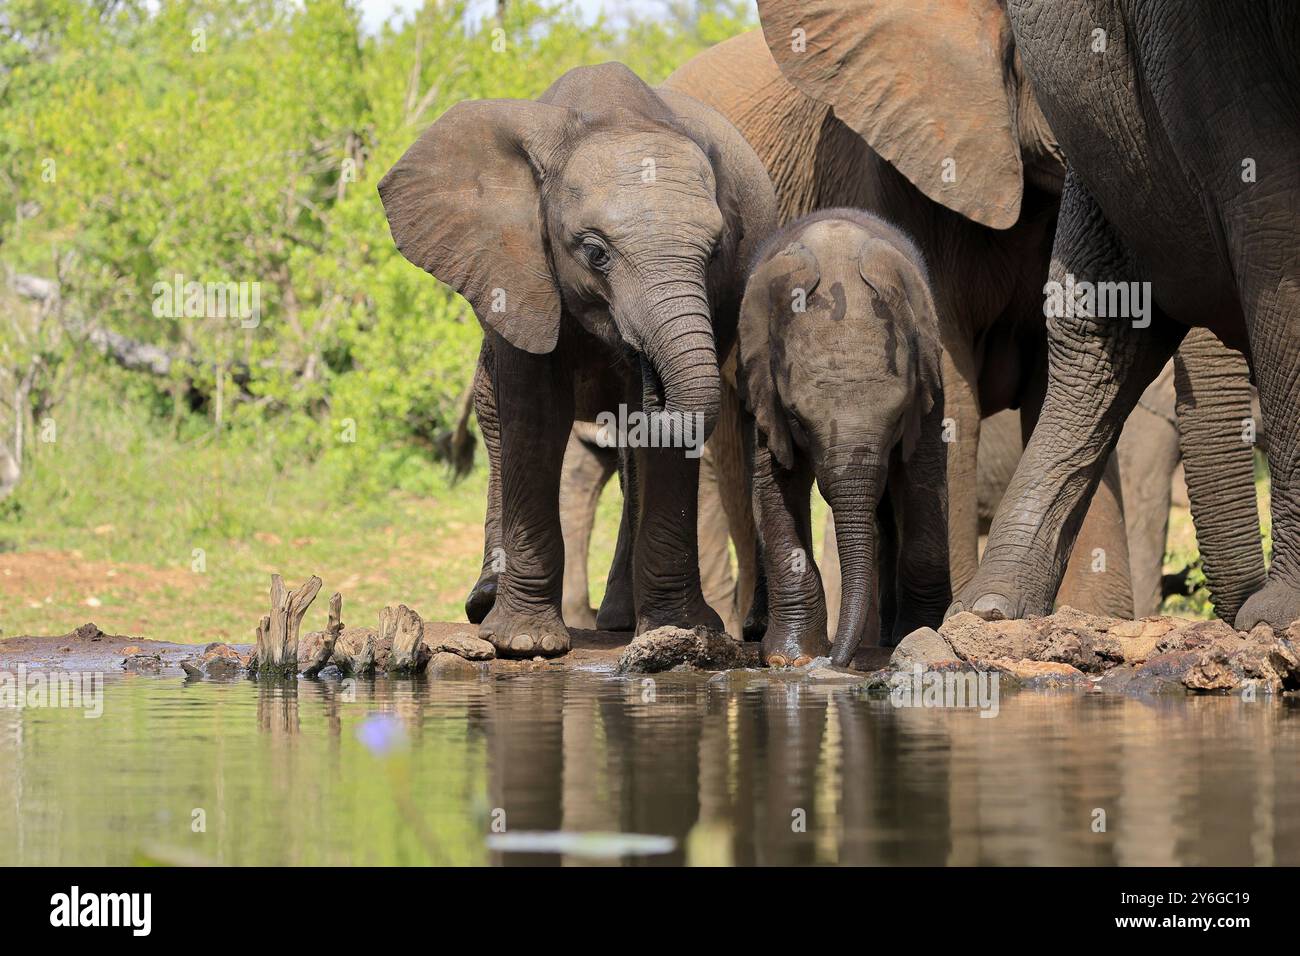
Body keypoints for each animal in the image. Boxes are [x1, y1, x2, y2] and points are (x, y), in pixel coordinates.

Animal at [743, 212, 946, 671]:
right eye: (797, 419)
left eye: (897, 417)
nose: (837, 662)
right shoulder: (763, 390)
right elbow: (775, 486)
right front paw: (790, 658)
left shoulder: (930, 380)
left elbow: (923, 480)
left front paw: (924, 635)